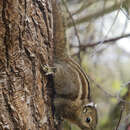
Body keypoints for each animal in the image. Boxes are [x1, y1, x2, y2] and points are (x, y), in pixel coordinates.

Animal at [51, 0, 97, 129]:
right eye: (88, 120)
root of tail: (65, 58)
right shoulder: (64, 105)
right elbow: (58, 107)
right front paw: (57, 119)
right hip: (63, 77)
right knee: (56, 72)